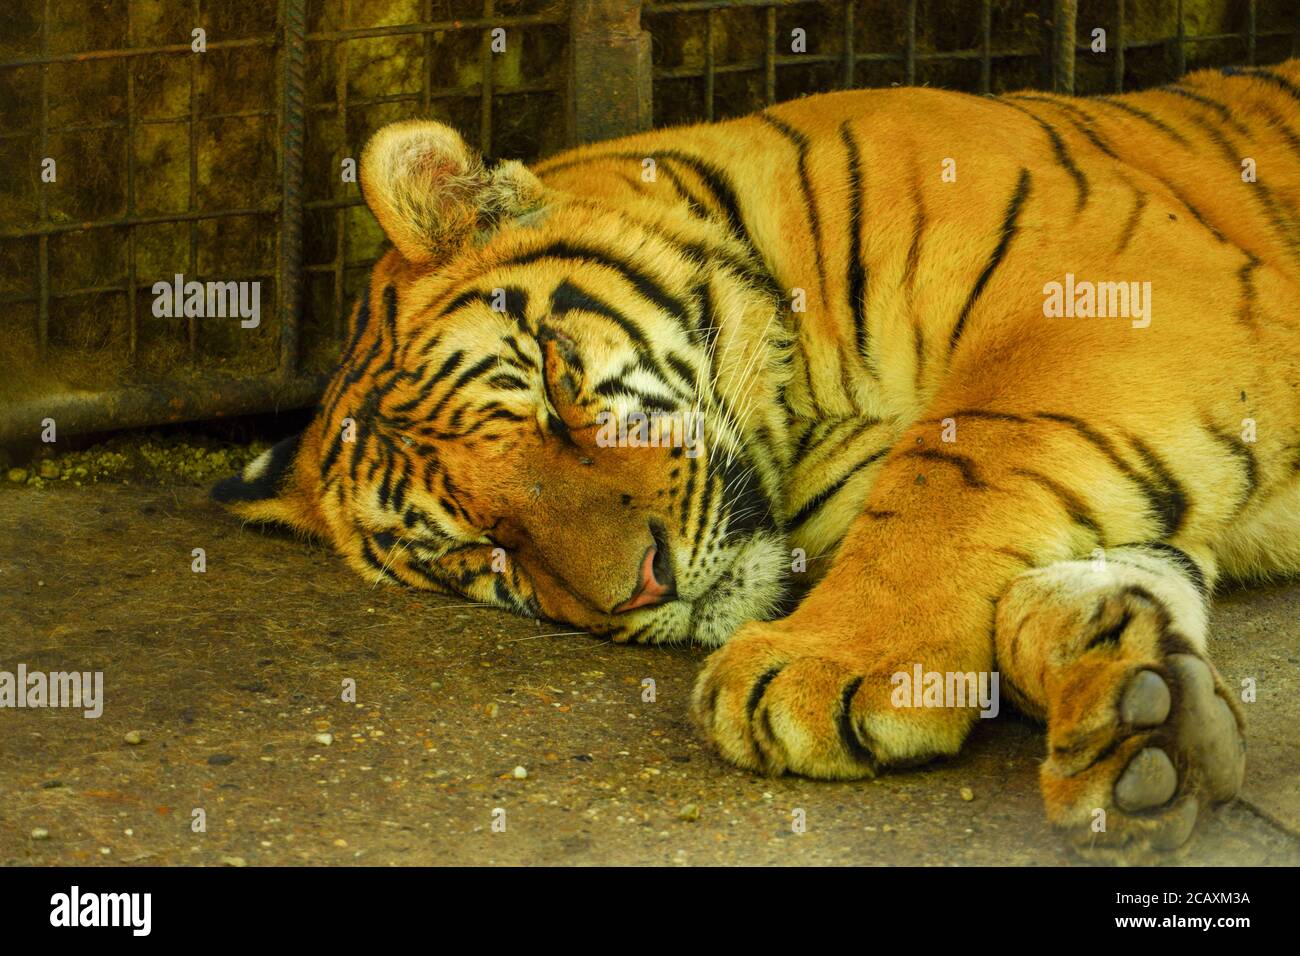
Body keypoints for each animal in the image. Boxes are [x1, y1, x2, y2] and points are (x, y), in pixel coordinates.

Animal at [213, 60, 1300, 862]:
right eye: (483, 551)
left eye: (558, 389)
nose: (644, 586)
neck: (804, 402)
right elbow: (1058, 581)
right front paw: (1142, 721)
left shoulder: (1111, 285)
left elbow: (965, 461)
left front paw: (822, 667)